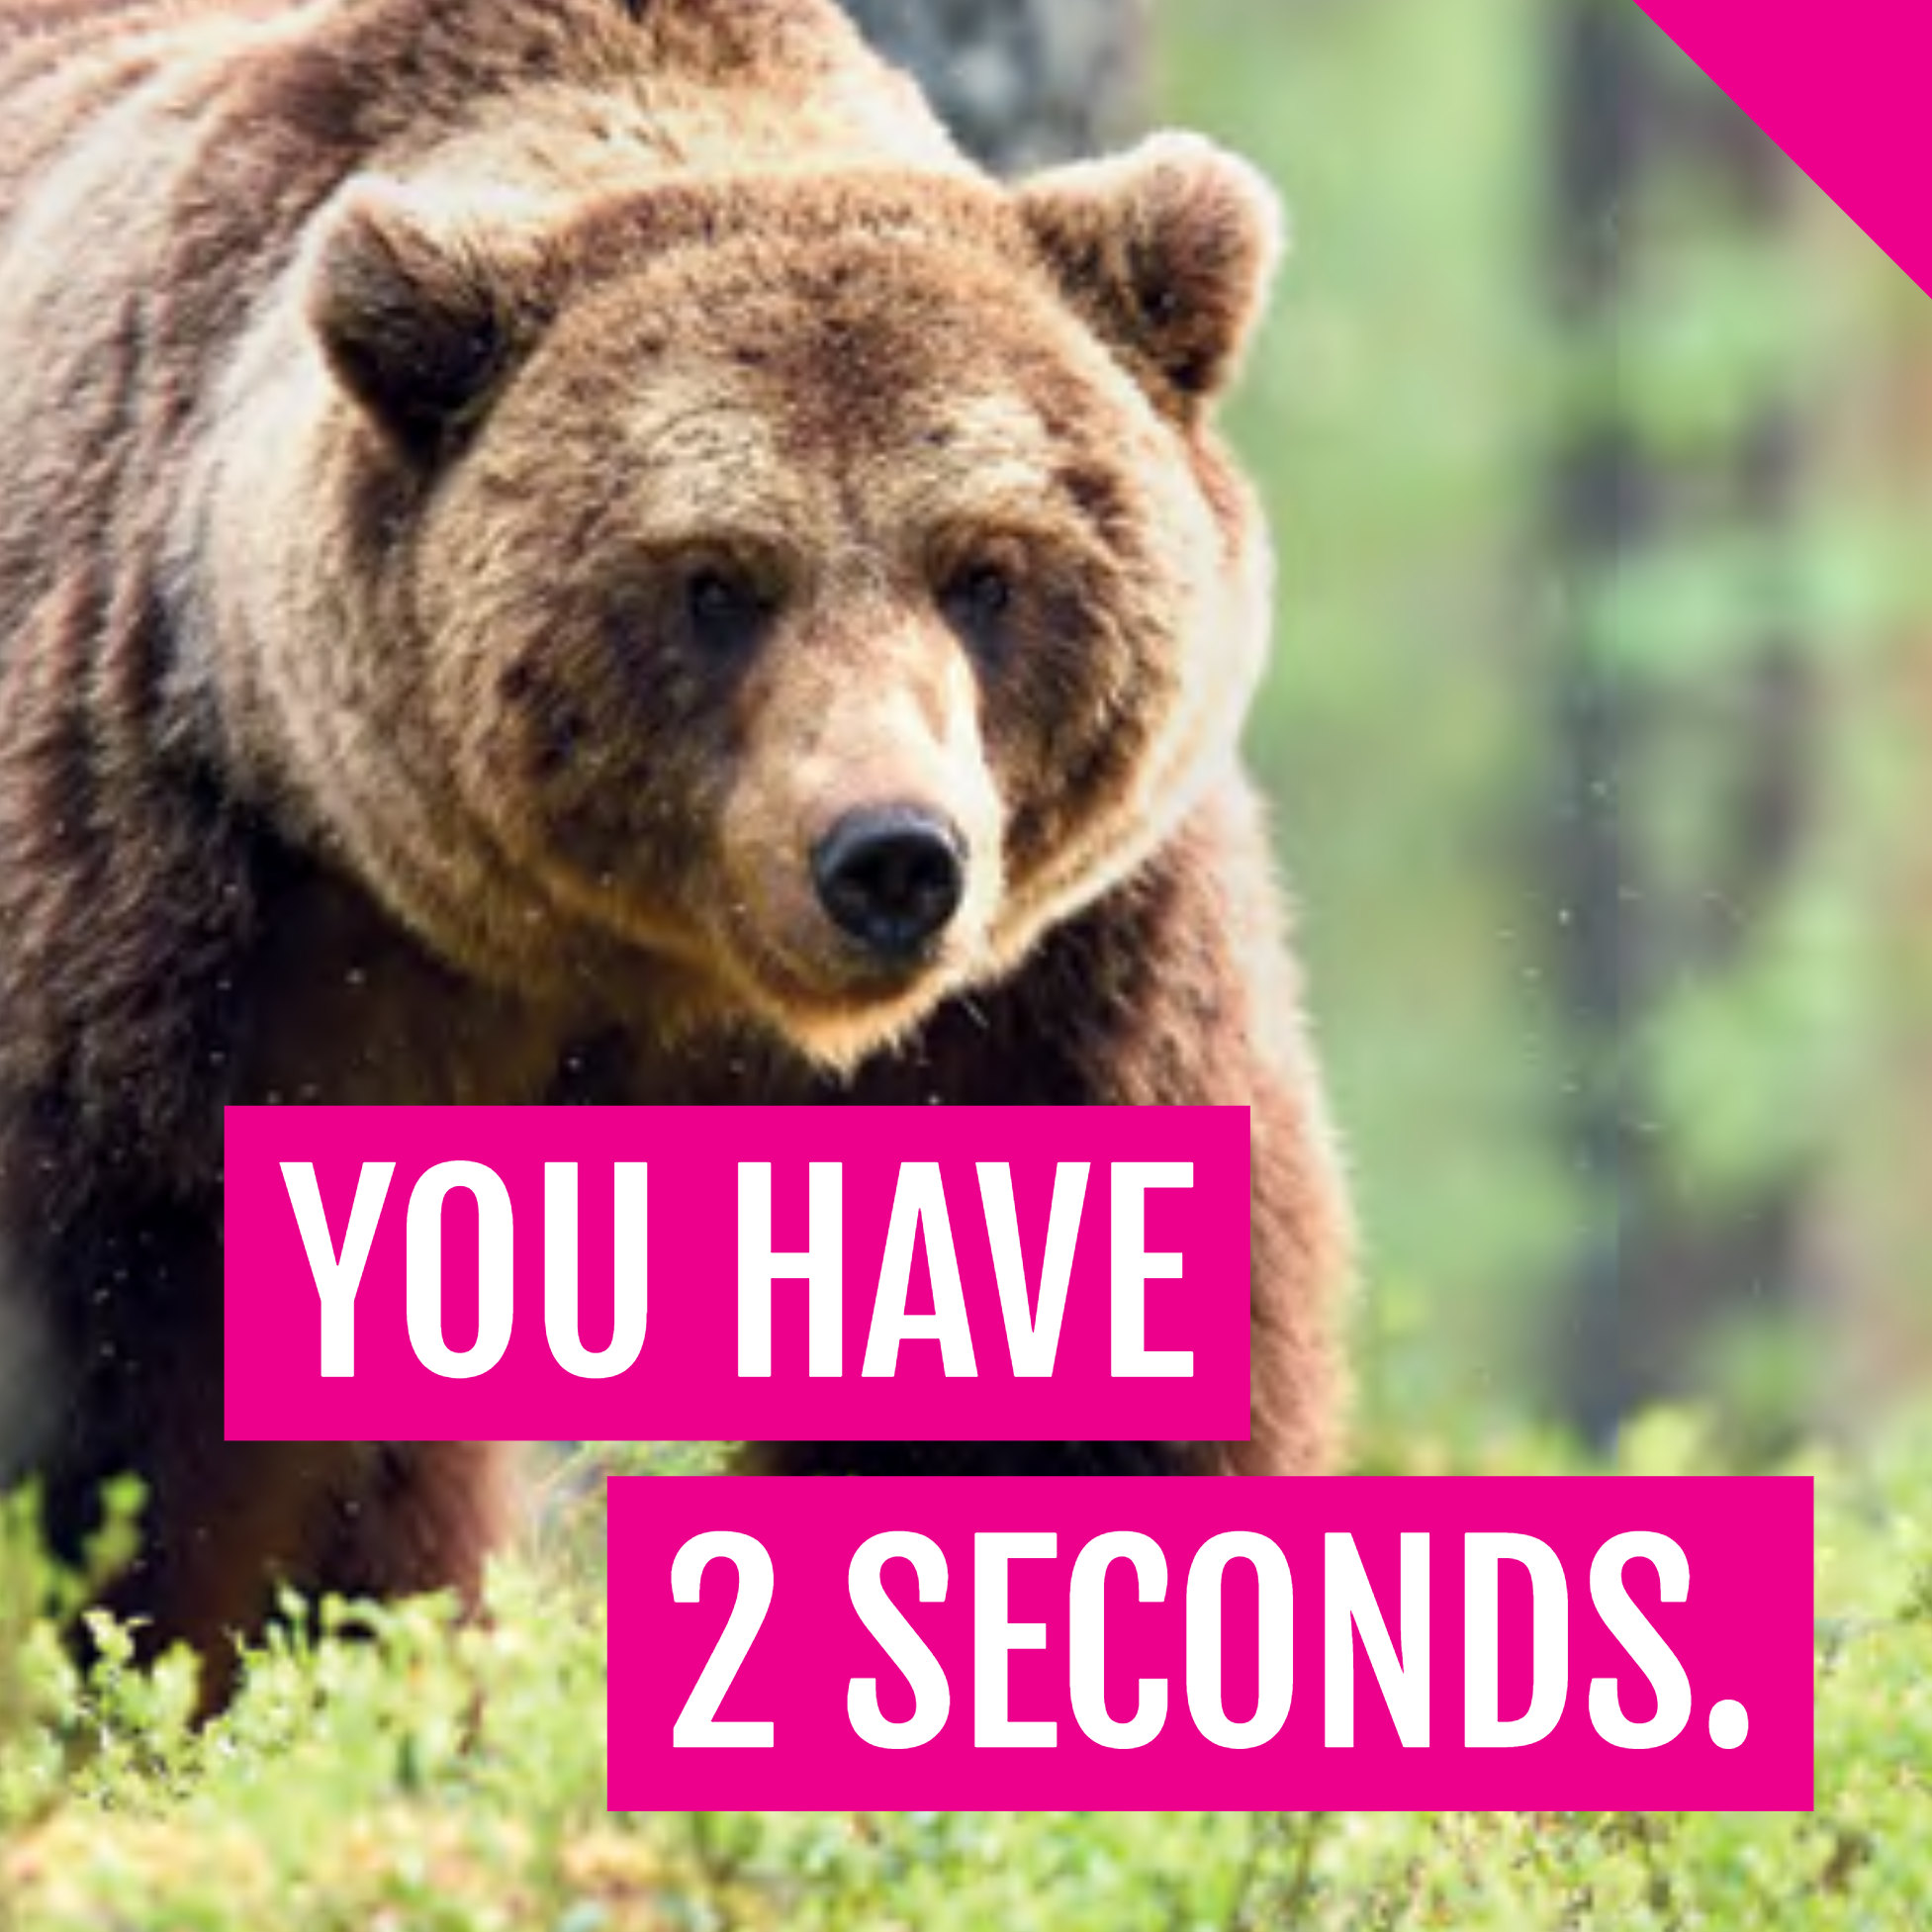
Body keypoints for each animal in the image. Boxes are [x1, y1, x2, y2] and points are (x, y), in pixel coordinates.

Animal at [0, 0, 1352, 1693]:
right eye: (716, 580)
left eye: (985, 567)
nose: (890, 856)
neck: (634, 963)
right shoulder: (205, 932)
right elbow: (173, 1430)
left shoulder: (1041, 989)